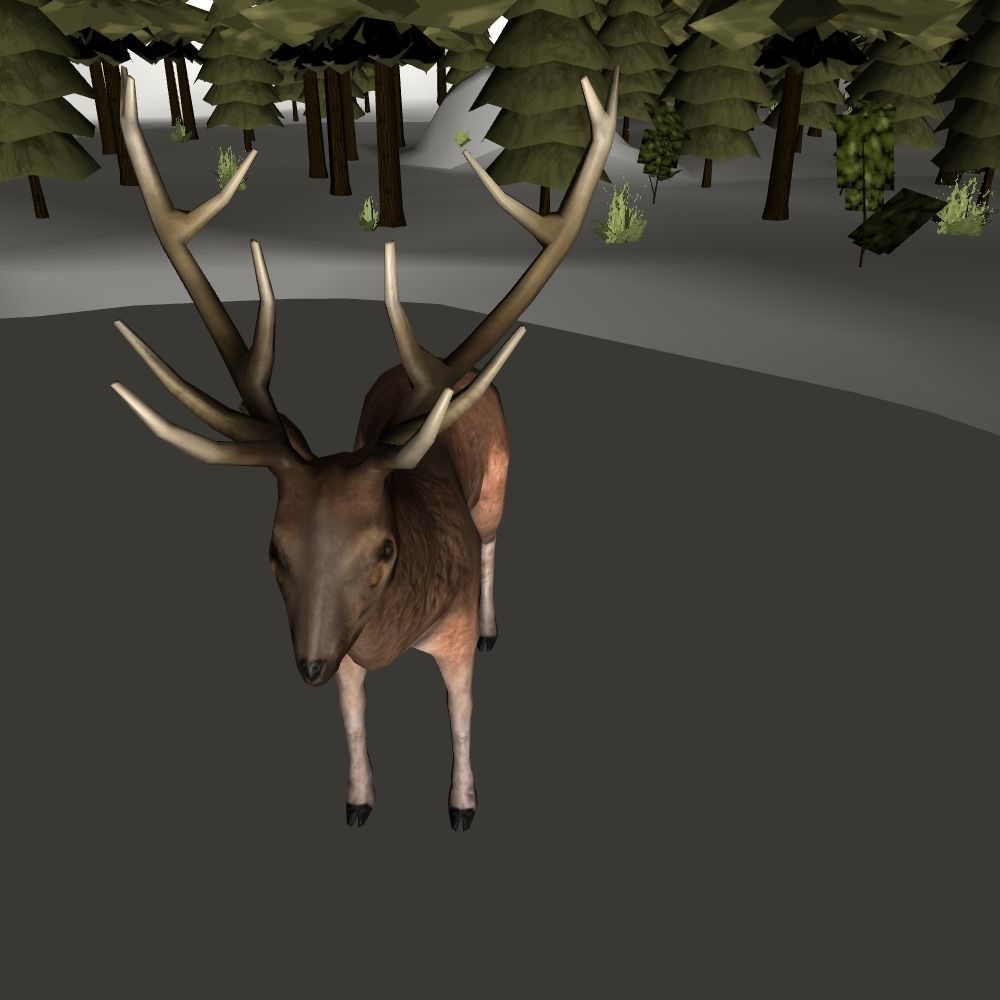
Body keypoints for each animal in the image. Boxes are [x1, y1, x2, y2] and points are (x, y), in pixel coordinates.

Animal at [109, 64, 619, 830]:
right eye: (273, 549)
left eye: (384, 548)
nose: (309, 665)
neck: (389, 636)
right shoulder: (346, 653)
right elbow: (353, 721)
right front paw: (358, 800)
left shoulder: (451, 630)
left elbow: (461, 715)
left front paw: (463, 804)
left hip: (498, 484)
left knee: (494, 540)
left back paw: (496, 620)